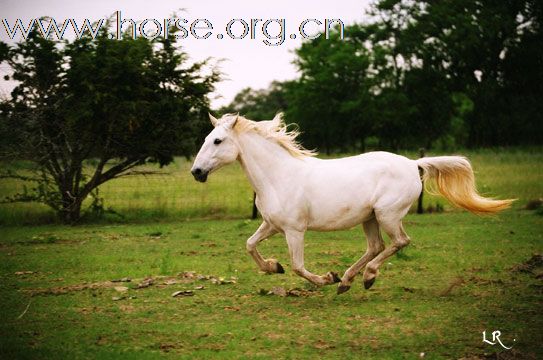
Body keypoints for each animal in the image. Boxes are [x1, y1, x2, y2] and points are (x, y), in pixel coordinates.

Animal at [191, 114, 516, 294]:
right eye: (207, 137)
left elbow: (298, 266)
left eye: (218, 141)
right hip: (369, 218)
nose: (196, 172)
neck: (279, 176)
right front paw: (274, 267)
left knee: (399, 242)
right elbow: (250, 245)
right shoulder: (271, 225)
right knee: (376, 246)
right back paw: (346, 281)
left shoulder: (295, 230)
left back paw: (365, 277)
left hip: (387, 215)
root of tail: (413, 163)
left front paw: (324, 278)